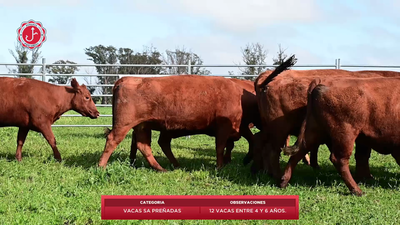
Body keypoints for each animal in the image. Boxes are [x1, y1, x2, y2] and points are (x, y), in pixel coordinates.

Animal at [253, 56, 400, 181]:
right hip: (280, 130)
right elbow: (362, 156)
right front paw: (366, 178)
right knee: (273, 150)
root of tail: (265, 81)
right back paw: (277, 175)